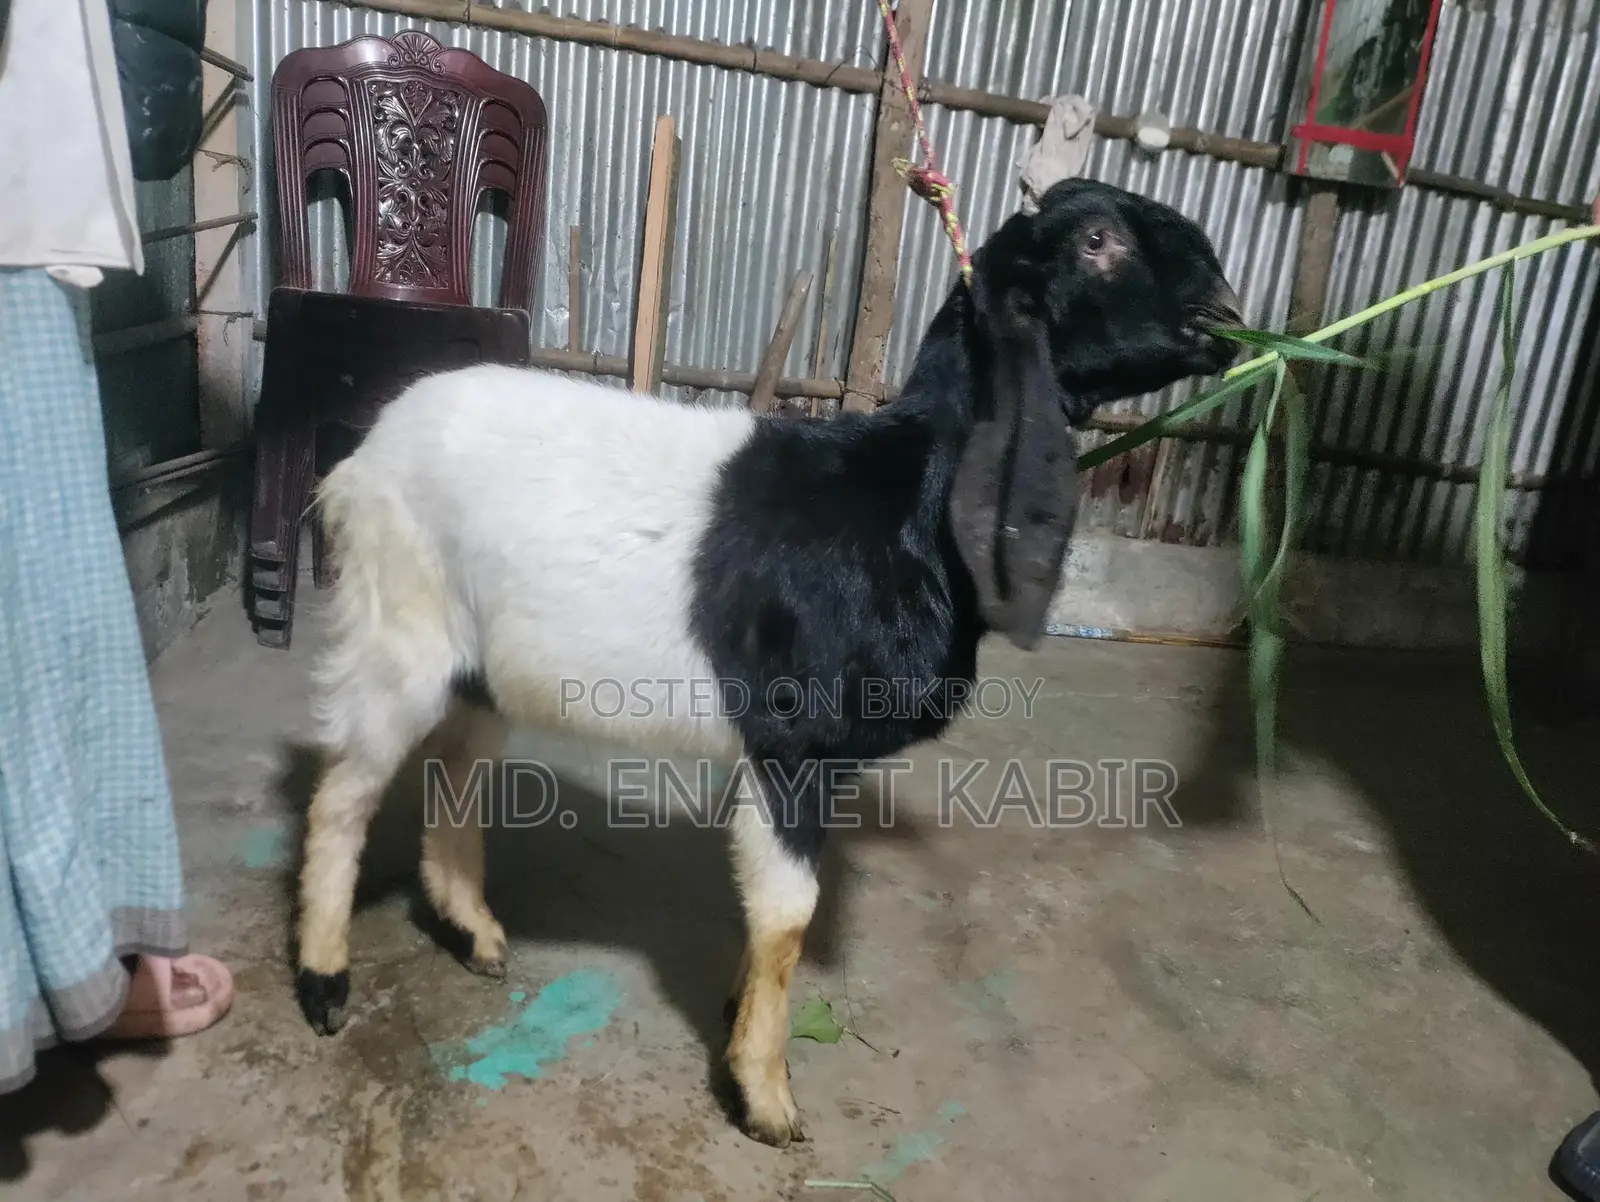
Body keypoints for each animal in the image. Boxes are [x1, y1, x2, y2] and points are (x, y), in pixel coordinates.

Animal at [293, 177, 1243, 1146]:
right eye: (1098, 241)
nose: (1225, 311)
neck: (903, 497)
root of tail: (360, 461)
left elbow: (765, 920)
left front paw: (739, 1023)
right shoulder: (795, 751)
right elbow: (789, 918)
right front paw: (766, 1095)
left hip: (481, 665)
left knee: (454, 771)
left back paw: (473, 932)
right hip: (398, 624)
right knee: (345, 790)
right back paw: (325, 980)